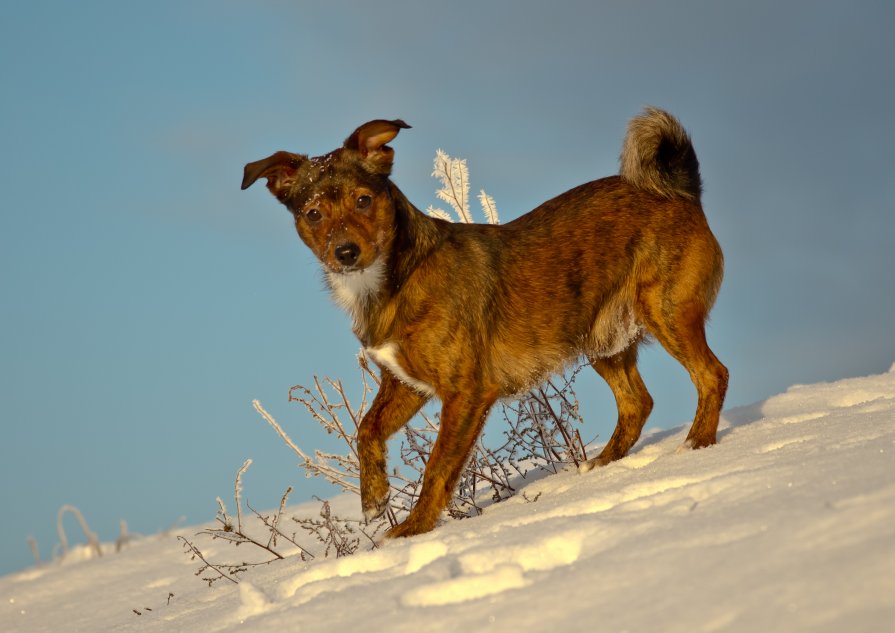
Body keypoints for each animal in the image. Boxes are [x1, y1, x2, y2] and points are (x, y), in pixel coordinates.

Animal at [243, 108, 728, 540]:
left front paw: (412, 531)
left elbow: (437, 467)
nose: (344, 252)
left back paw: (696, 445)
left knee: (712, 375)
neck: (393, 279)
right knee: (636, 402)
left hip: (666, 311)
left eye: (364, 200)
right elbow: (367, 429)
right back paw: (602, 465)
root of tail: (681, 191)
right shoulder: (404, 383)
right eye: (313, 214)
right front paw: (374, 497)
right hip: (601, 337)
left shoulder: (466, 391)